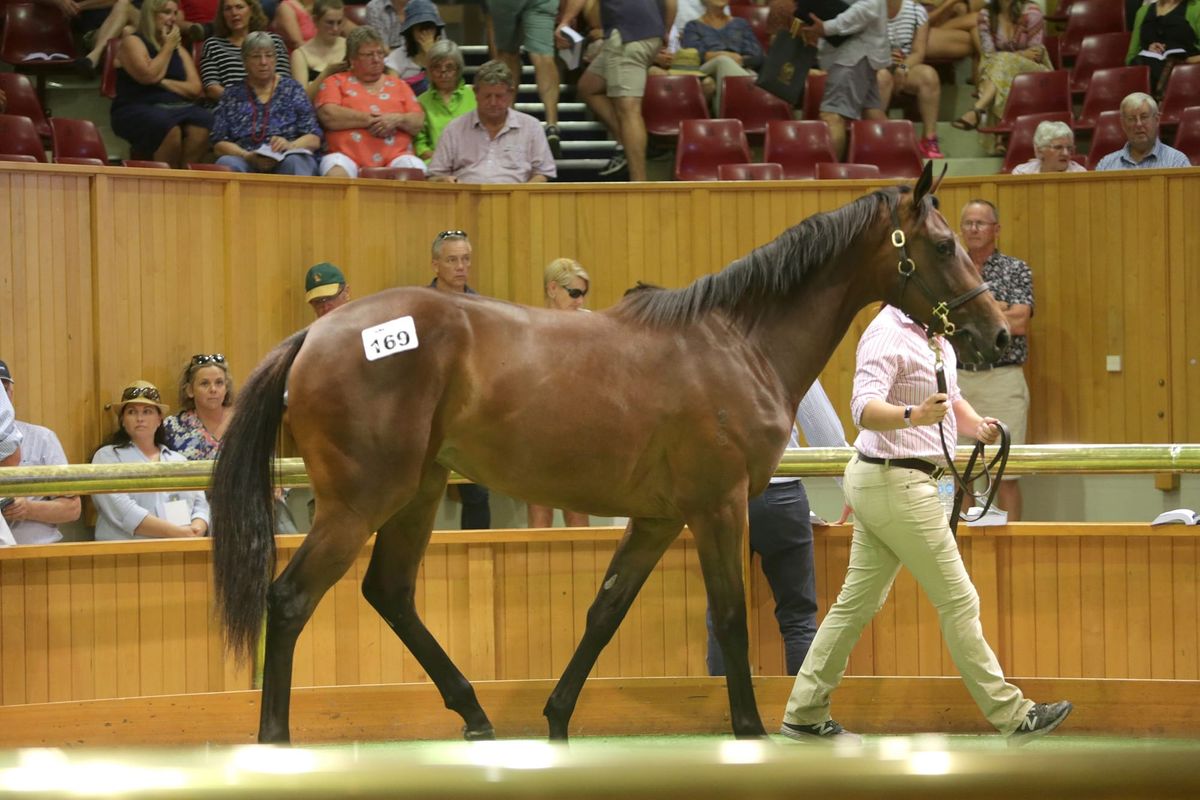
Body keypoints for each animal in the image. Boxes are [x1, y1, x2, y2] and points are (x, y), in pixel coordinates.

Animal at [210, 163, 1010, 744]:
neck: (738, 341)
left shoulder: (656, 519)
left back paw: (474, 715)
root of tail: (317, 334)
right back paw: (278, 738)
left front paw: (558, 721)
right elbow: (728, 618)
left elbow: (605, 611)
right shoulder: (717, 507)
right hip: (361, 501)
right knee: (291, 600)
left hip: (419, 491)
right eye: (946, 246)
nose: (998, 336)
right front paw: (749, 729)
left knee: (390, 593)